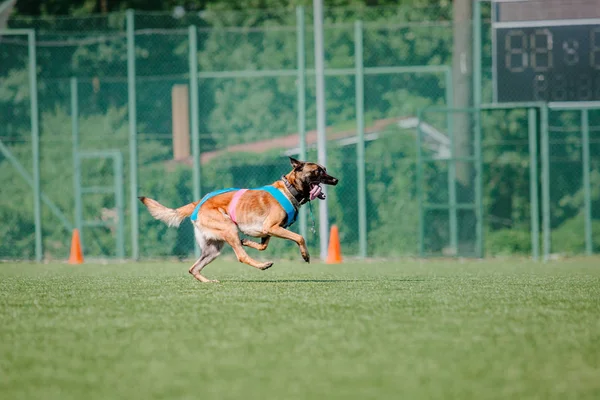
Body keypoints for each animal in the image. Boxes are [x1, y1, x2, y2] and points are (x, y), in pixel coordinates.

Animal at [138, 156, 340, 282]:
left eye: (324, 170)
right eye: (318, 171)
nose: (336, 180)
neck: (289, 188)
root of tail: (199, 203)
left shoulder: (267, 230)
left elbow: (263, 245)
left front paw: (247, 241)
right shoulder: (272, 227)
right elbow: (300, 237)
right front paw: (305, 255)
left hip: (213, 249)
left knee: (193, 268)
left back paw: (208, 281)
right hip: (229, 229)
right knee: (241, 256)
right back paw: (263, 265)